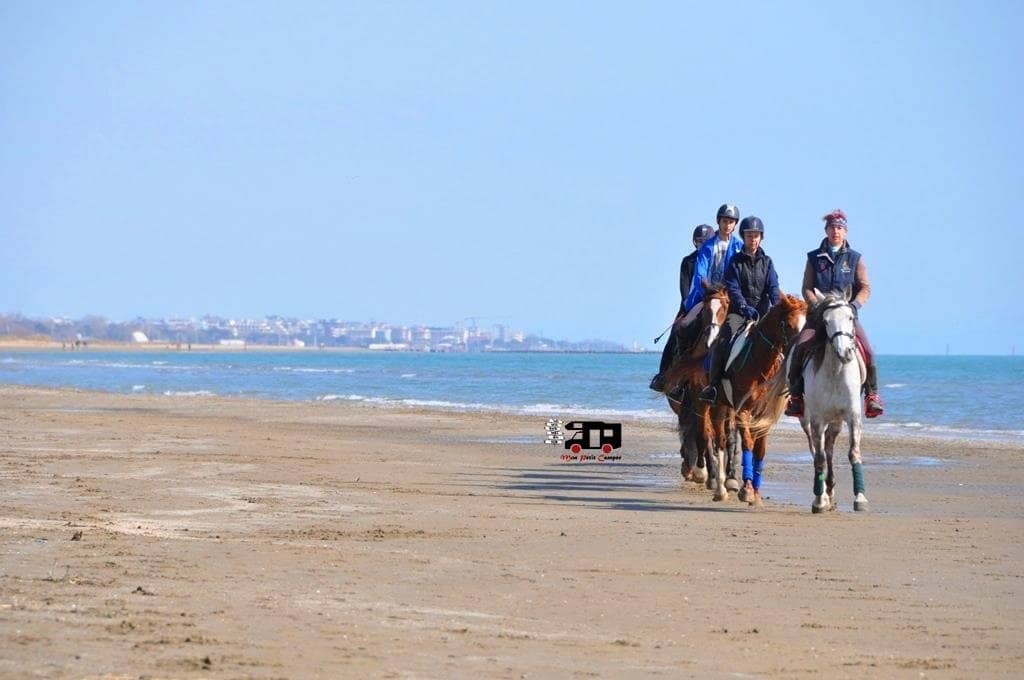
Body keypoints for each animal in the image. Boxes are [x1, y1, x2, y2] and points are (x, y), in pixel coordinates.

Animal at [684, 293, 807, 504]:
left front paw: (756, 492)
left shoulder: (763, 415)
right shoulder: (743, 410)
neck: (759, 363)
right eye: (789, 325)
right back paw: (719, 487)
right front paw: (747, 489)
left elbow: (760, 449)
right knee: (717, 439)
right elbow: (748, 443)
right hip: (711, 404)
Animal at [795, 293, 869, 513]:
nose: (845, 352)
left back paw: (830, 489)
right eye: (826, 321)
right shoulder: (817, 420)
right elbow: (818, 458)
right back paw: (824, 494)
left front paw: (860, 497)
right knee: (817, 450)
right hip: (808, 420)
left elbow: (853, 452)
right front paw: (819, 501)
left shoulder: (853, 416)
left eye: (850, 317)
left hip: (836, 420)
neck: (835, 371)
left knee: (829, 447)